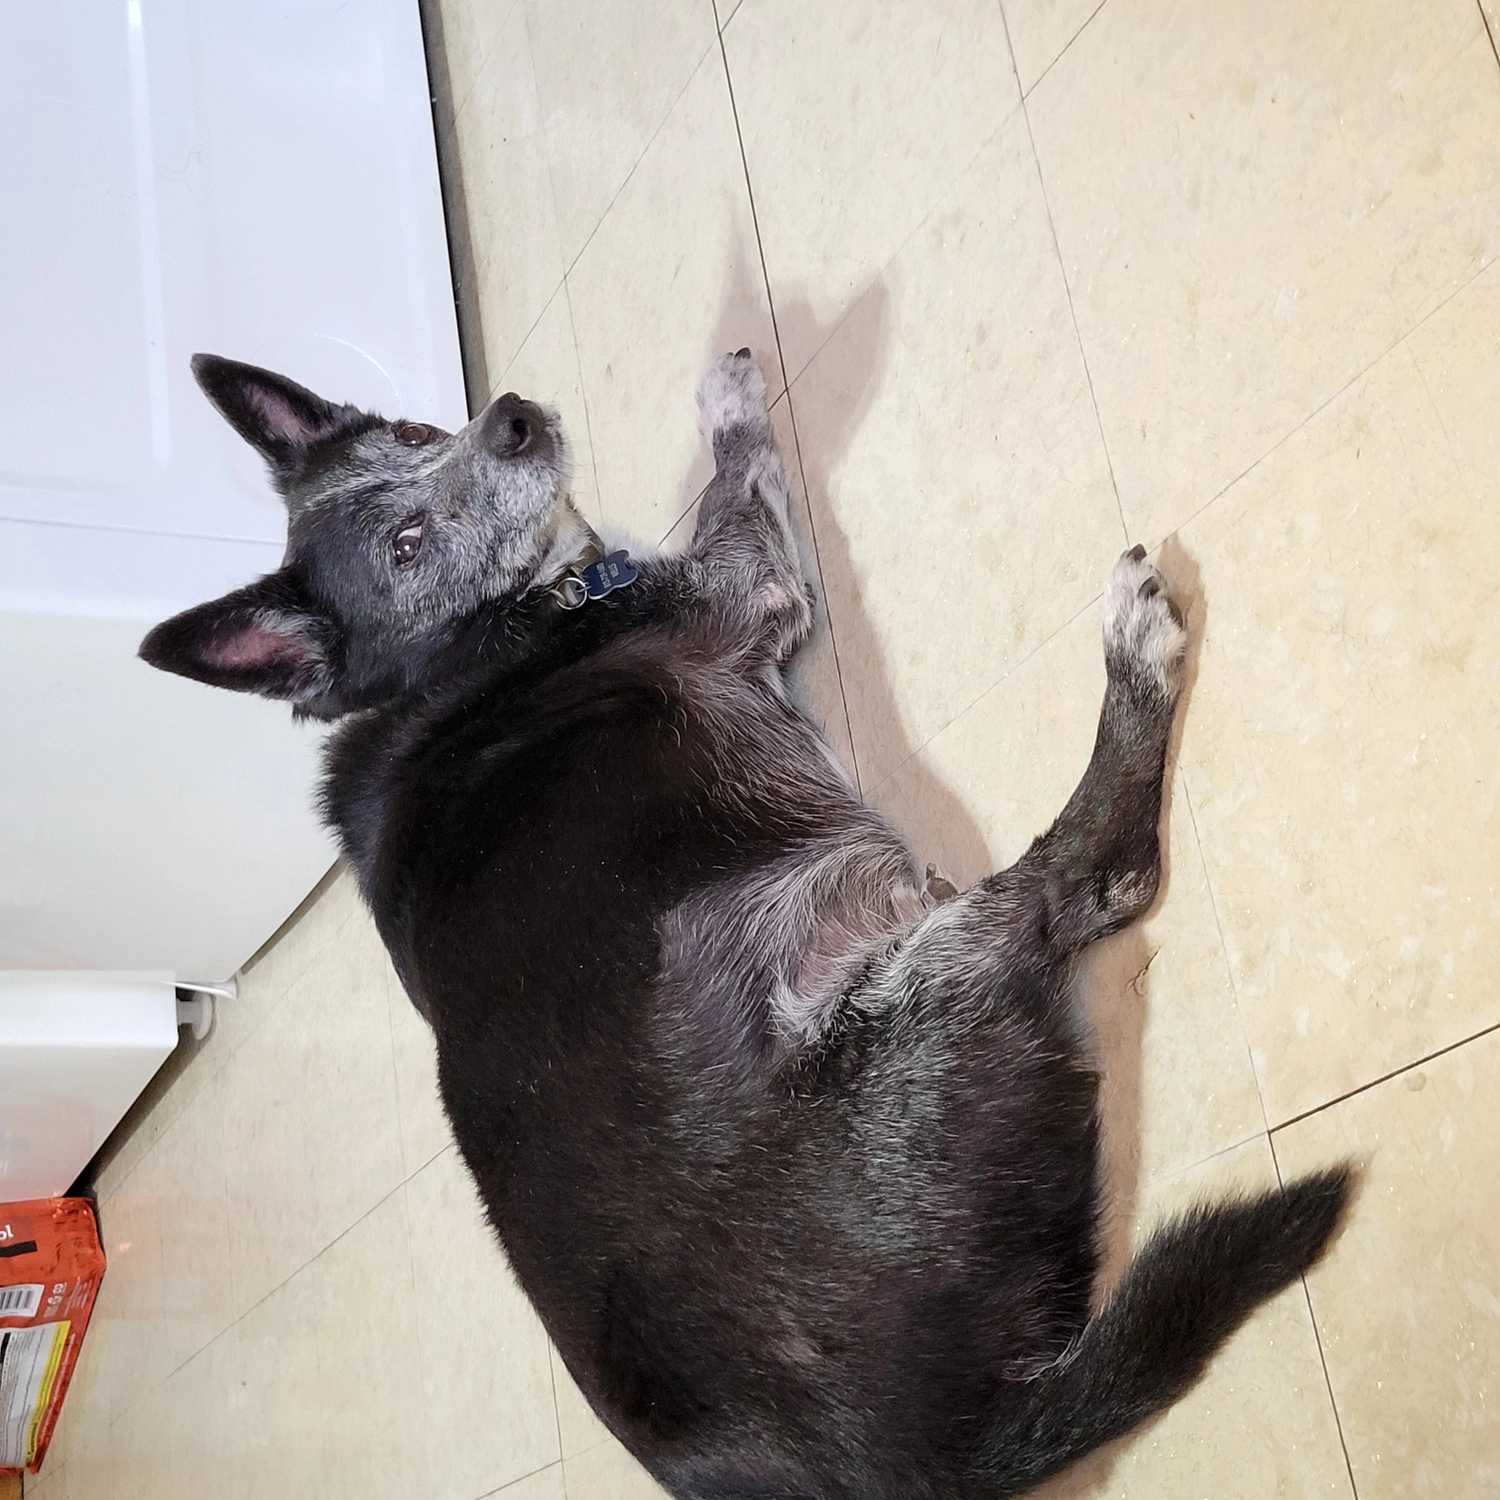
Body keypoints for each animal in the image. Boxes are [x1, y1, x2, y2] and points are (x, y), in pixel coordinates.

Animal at [142, 349, 1351, 1499]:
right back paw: (1135, 647)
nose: (515, 417)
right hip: (916, 978)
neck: (464, 650)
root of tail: (943, 1452)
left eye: (409, 433)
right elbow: (735, 470)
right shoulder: (754, 587)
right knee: (1099, 875)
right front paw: (724, 391)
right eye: (405, 541)